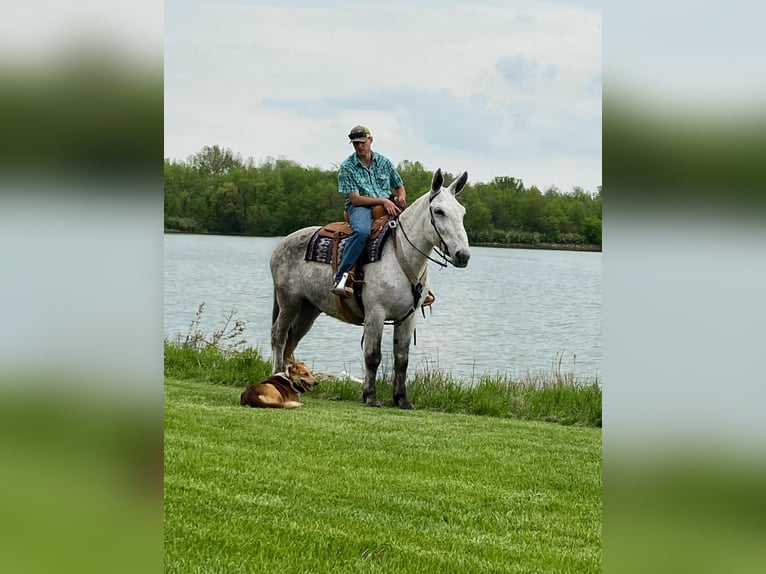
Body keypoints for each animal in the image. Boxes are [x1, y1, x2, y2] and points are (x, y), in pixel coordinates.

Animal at [270, 170, 474, 410]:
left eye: (462, 212)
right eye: (439, 211)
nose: (463, 255)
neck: (399, 256)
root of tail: (283, 242)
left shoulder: (409, 317)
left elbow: (402, 359)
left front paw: (402, 399)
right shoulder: (376, 313)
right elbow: (373, 355)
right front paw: (370, 396)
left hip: (308, 309)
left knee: (291, 341)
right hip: (289, 302)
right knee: (279, 337)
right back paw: (277, 377)